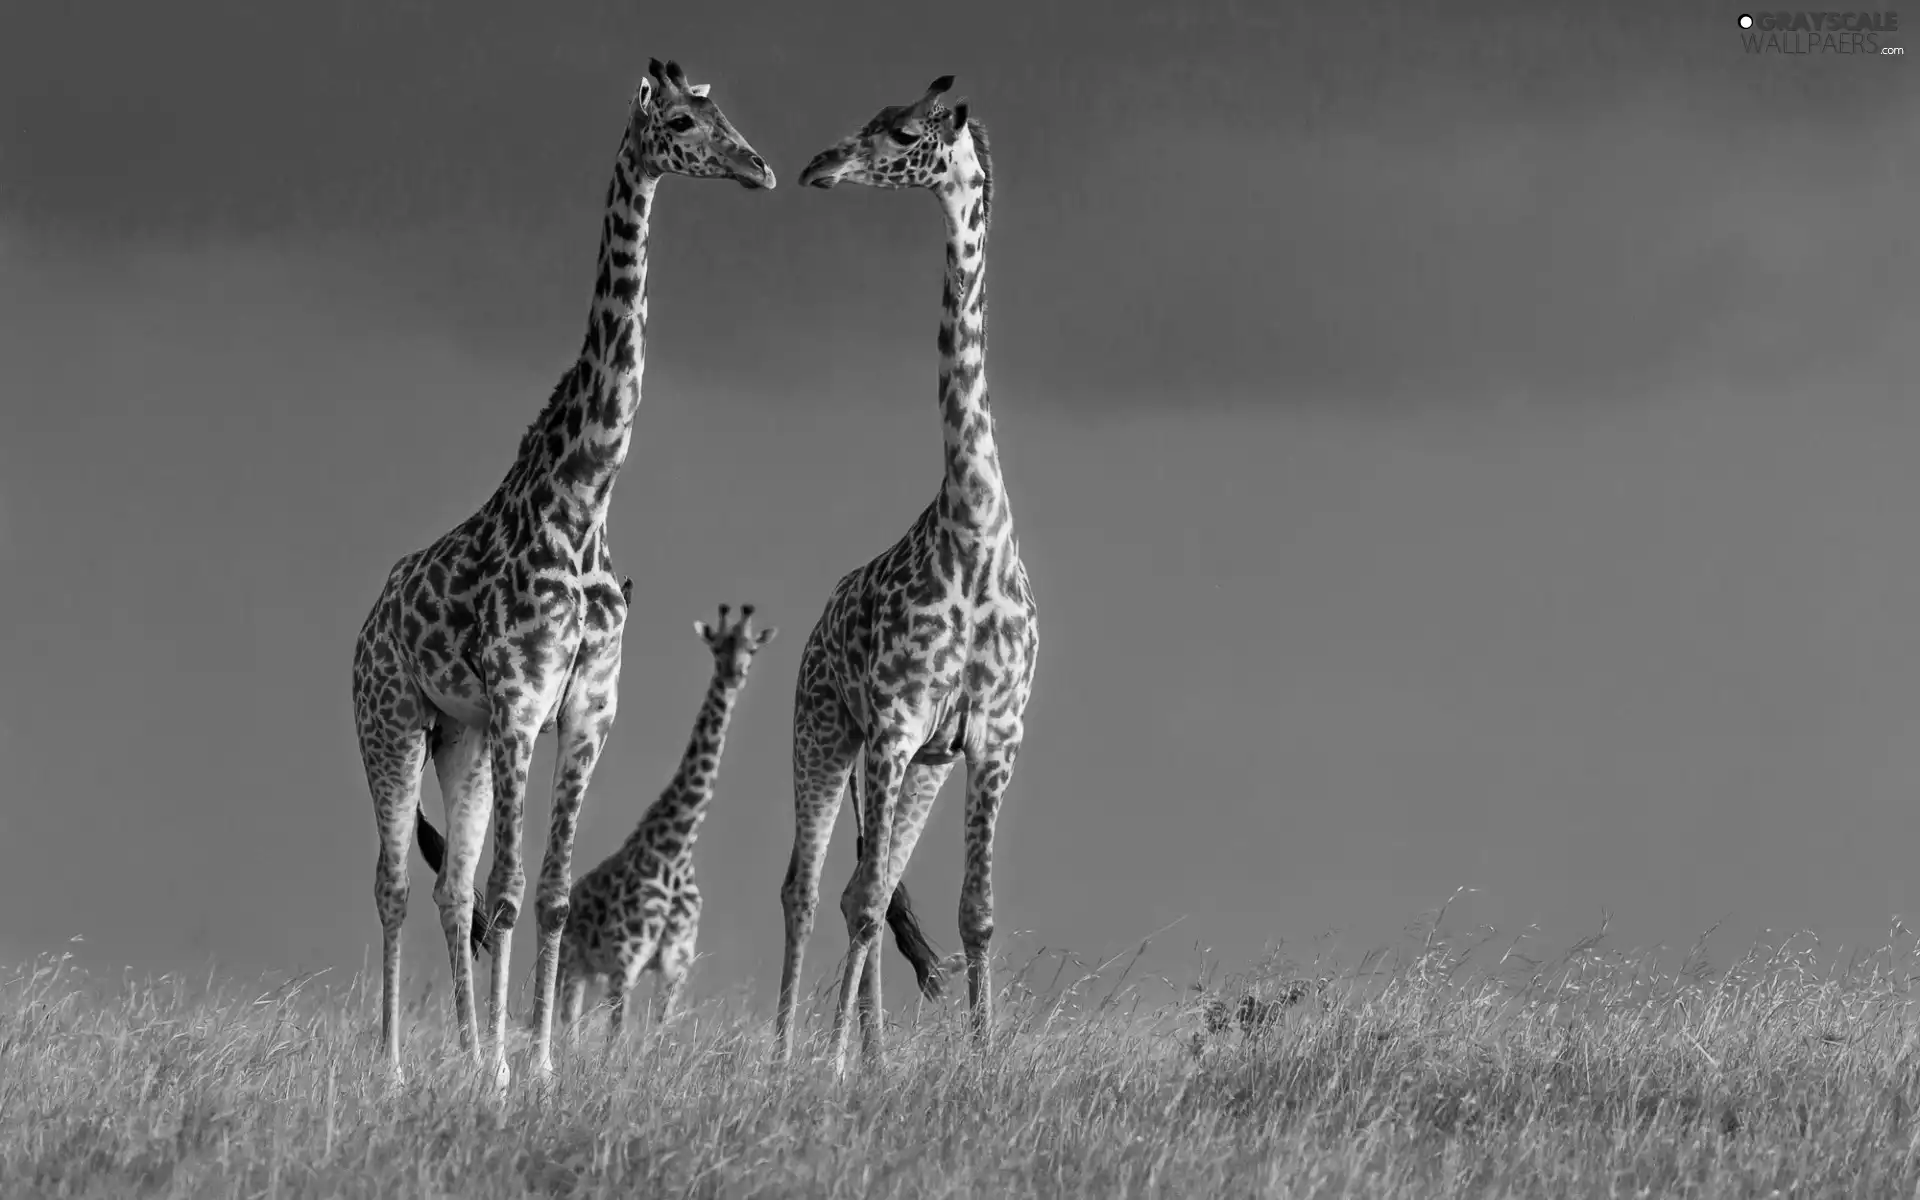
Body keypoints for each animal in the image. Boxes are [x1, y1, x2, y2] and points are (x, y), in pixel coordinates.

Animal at [552, 602, 775, 1036]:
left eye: (751, 649)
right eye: (718, 646)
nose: (735, 675)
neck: (676, 847)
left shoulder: (674, 967)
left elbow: (657, 1035)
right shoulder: (627, 959)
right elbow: (617, 1036)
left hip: (593, 971)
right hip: (573, 962)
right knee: (566, 1025)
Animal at [775, 74, 1044, 1075]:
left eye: (899, 131)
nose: (819, 165)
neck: (974, 528)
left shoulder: (993, 735)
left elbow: (976, 914)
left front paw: (983, 1062)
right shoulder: (888, 724)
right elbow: (857, 906)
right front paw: (829, 1066)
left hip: (919, 762)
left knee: (872, 881)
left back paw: (879, 1057)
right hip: (823, 731)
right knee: (813, 887)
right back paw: (795, 1056)